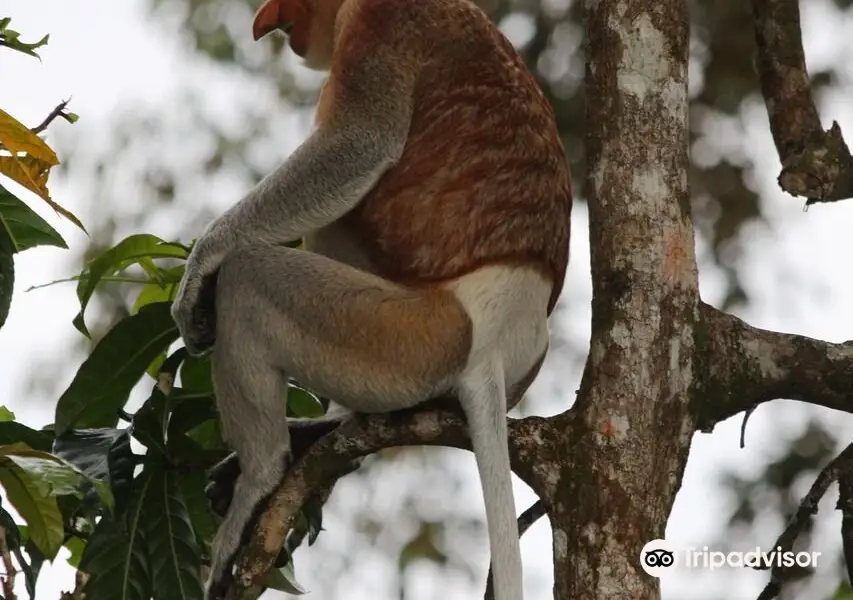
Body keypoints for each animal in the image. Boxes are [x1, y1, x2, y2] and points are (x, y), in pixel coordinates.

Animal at [171, 0, 572, 596]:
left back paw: (260, 483)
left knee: (248, 282)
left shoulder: (383, 23)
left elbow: (356, 146)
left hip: (412, 336)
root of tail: (501, 342)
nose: (264, 20)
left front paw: (199, 270)